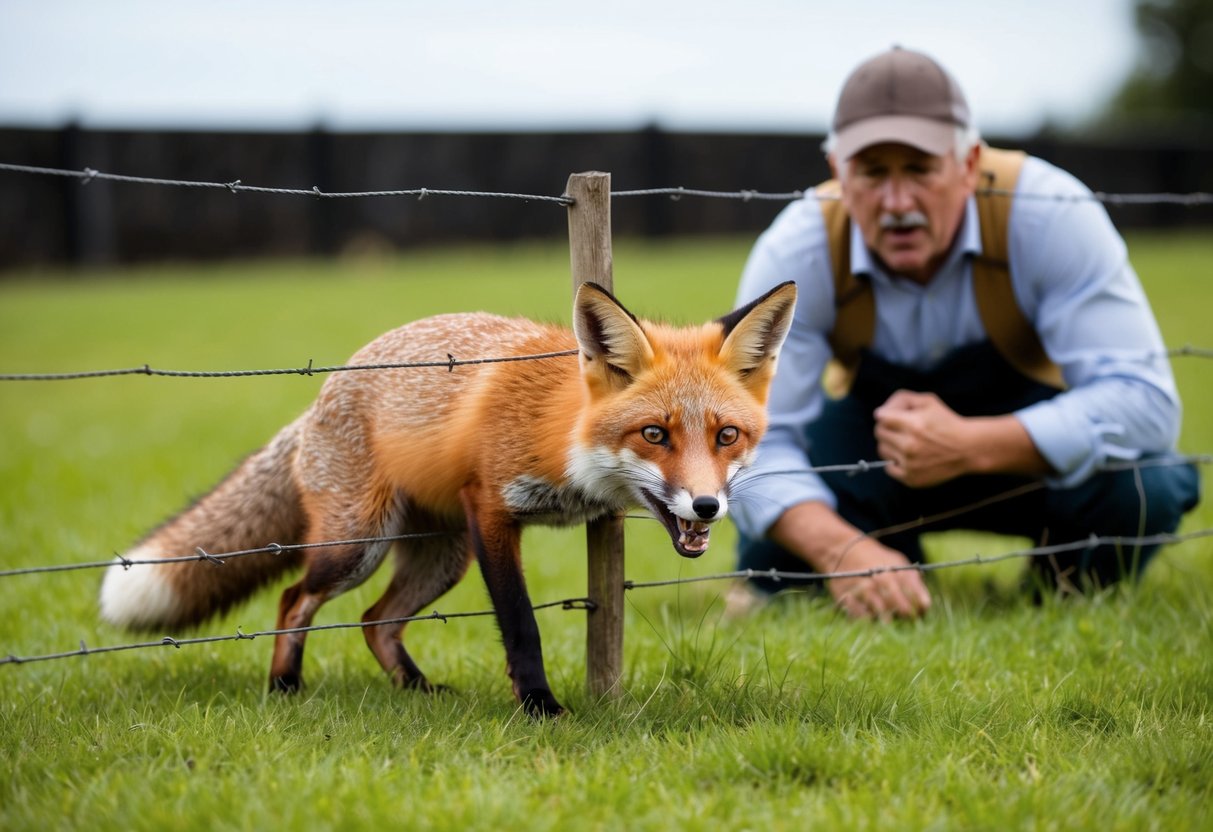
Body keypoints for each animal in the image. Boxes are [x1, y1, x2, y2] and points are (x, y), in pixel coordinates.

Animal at [99, 280, 797, 717]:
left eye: (726, 435)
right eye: (654, 434)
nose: (706, 508)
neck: (559, 432)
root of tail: (325, 390)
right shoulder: (490, 510)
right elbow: (520, 624)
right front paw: (541, 709)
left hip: (441, 557)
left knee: (375, 621)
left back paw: (415, 690)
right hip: (358, 545)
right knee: (295, 598)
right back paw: (285, 687)